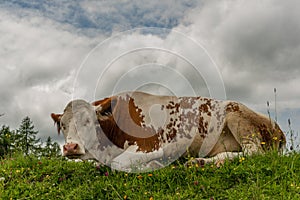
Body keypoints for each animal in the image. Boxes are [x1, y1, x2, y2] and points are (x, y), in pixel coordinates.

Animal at [51, 92, 286, 172]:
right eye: (63, 125)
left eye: (88, 121)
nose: (70, 147)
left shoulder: (151, 145)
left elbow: (121, 162)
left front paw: (156, 162)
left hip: (239, 119)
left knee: (253, 153)